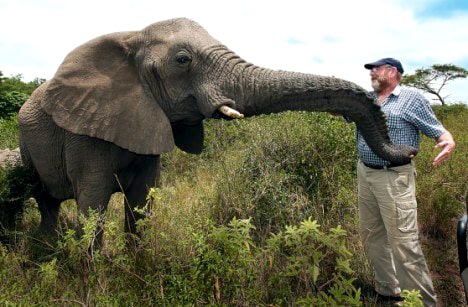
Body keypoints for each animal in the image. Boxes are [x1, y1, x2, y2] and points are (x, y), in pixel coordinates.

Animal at [17, 17, 416, 243]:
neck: (130, 37)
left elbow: (142, 205)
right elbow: (93, 207)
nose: (410, 152)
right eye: (182, 60)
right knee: (44, 201)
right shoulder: (82, 134)